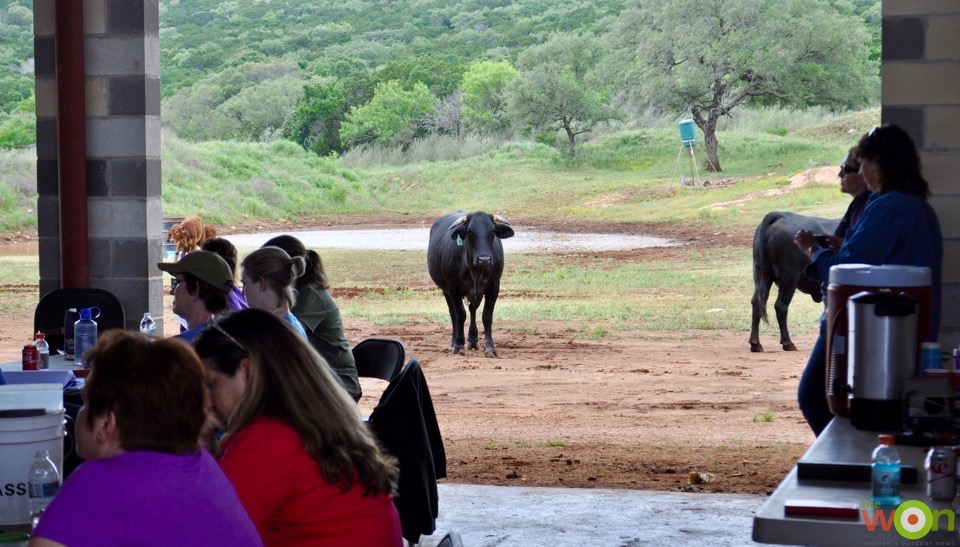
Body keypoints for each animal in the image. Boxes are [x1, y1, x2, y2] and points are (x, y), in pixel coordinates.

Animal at [430, 209, 516, 356]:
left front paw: (490, 348)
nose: (484, 259)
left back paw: (473, 340)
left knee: (472, 309)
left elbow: (487, 316)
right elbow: (460, 314)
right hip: (445, 290)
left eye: (492, 231)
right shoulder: (453, 287)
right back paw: (453, 343)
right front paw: (459, 345)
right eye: (470, 232)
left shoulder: (494, 286)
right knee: (453, 313)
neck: (475, 271)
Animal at [752, 212, 840, 354]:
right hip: (789, 277)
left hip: (761, 273)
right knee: (781, 306)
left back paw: (755, 343)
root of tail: (781, 215)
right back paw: (788, 343)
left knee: (756, 302)